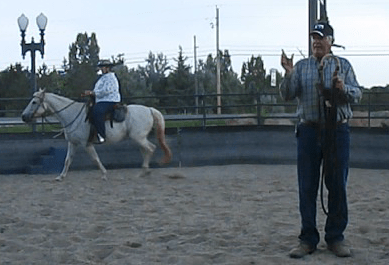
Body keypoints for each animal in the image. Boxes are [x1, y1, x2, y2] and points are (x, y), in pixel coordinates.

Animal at [21, 88, 171, 179]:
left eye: (34, 102)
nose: (23, 116)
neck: (72, 115)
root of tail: (150, 109)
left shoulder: (86, 144)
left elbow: (95, 159)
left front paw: (104, 174)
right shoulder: (73, 143)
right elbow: (67, 160)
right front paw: (60, 177)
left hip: (138, 138)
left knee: (151, 148)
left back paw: (145, 171)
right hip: (139, 138)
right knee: (146, 150)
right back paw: (144, 171)